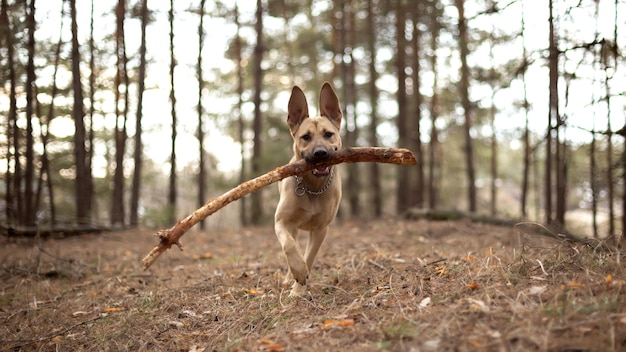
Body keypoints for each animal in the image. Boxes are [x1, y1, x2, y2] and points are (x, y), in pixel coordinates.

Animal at [272, 82, 342, 296]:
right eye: (306, 137)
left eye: (328, 134)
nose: (320, 153)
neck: (313, 187)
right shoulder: (281, 222)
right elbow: (289, 246)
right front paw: (298, 274)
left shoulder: (321, 229)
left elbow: (309, 257)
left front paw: (298, 290)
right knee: (292, 243)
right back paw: (289, 277)